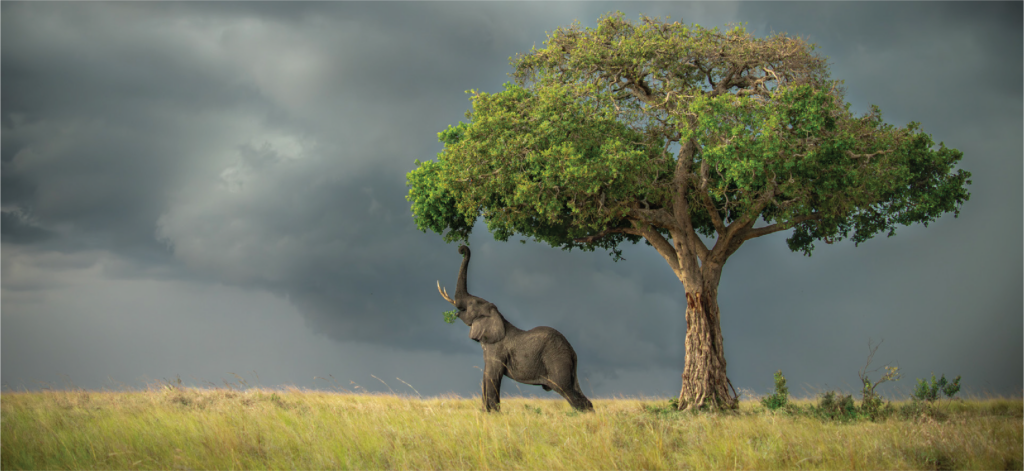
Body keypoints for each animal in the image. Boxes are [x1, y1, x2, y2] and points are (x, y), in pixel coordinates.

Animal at [438, 244, 598, 409]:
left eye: (471, 304)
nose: (461, 249)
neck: (498, 316)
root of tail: (573, 353)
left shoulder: (497, 349)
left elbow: (492, 375)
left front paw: (493, 412)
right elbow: (486, 376)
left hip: (557, 361)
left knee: (566, 390)